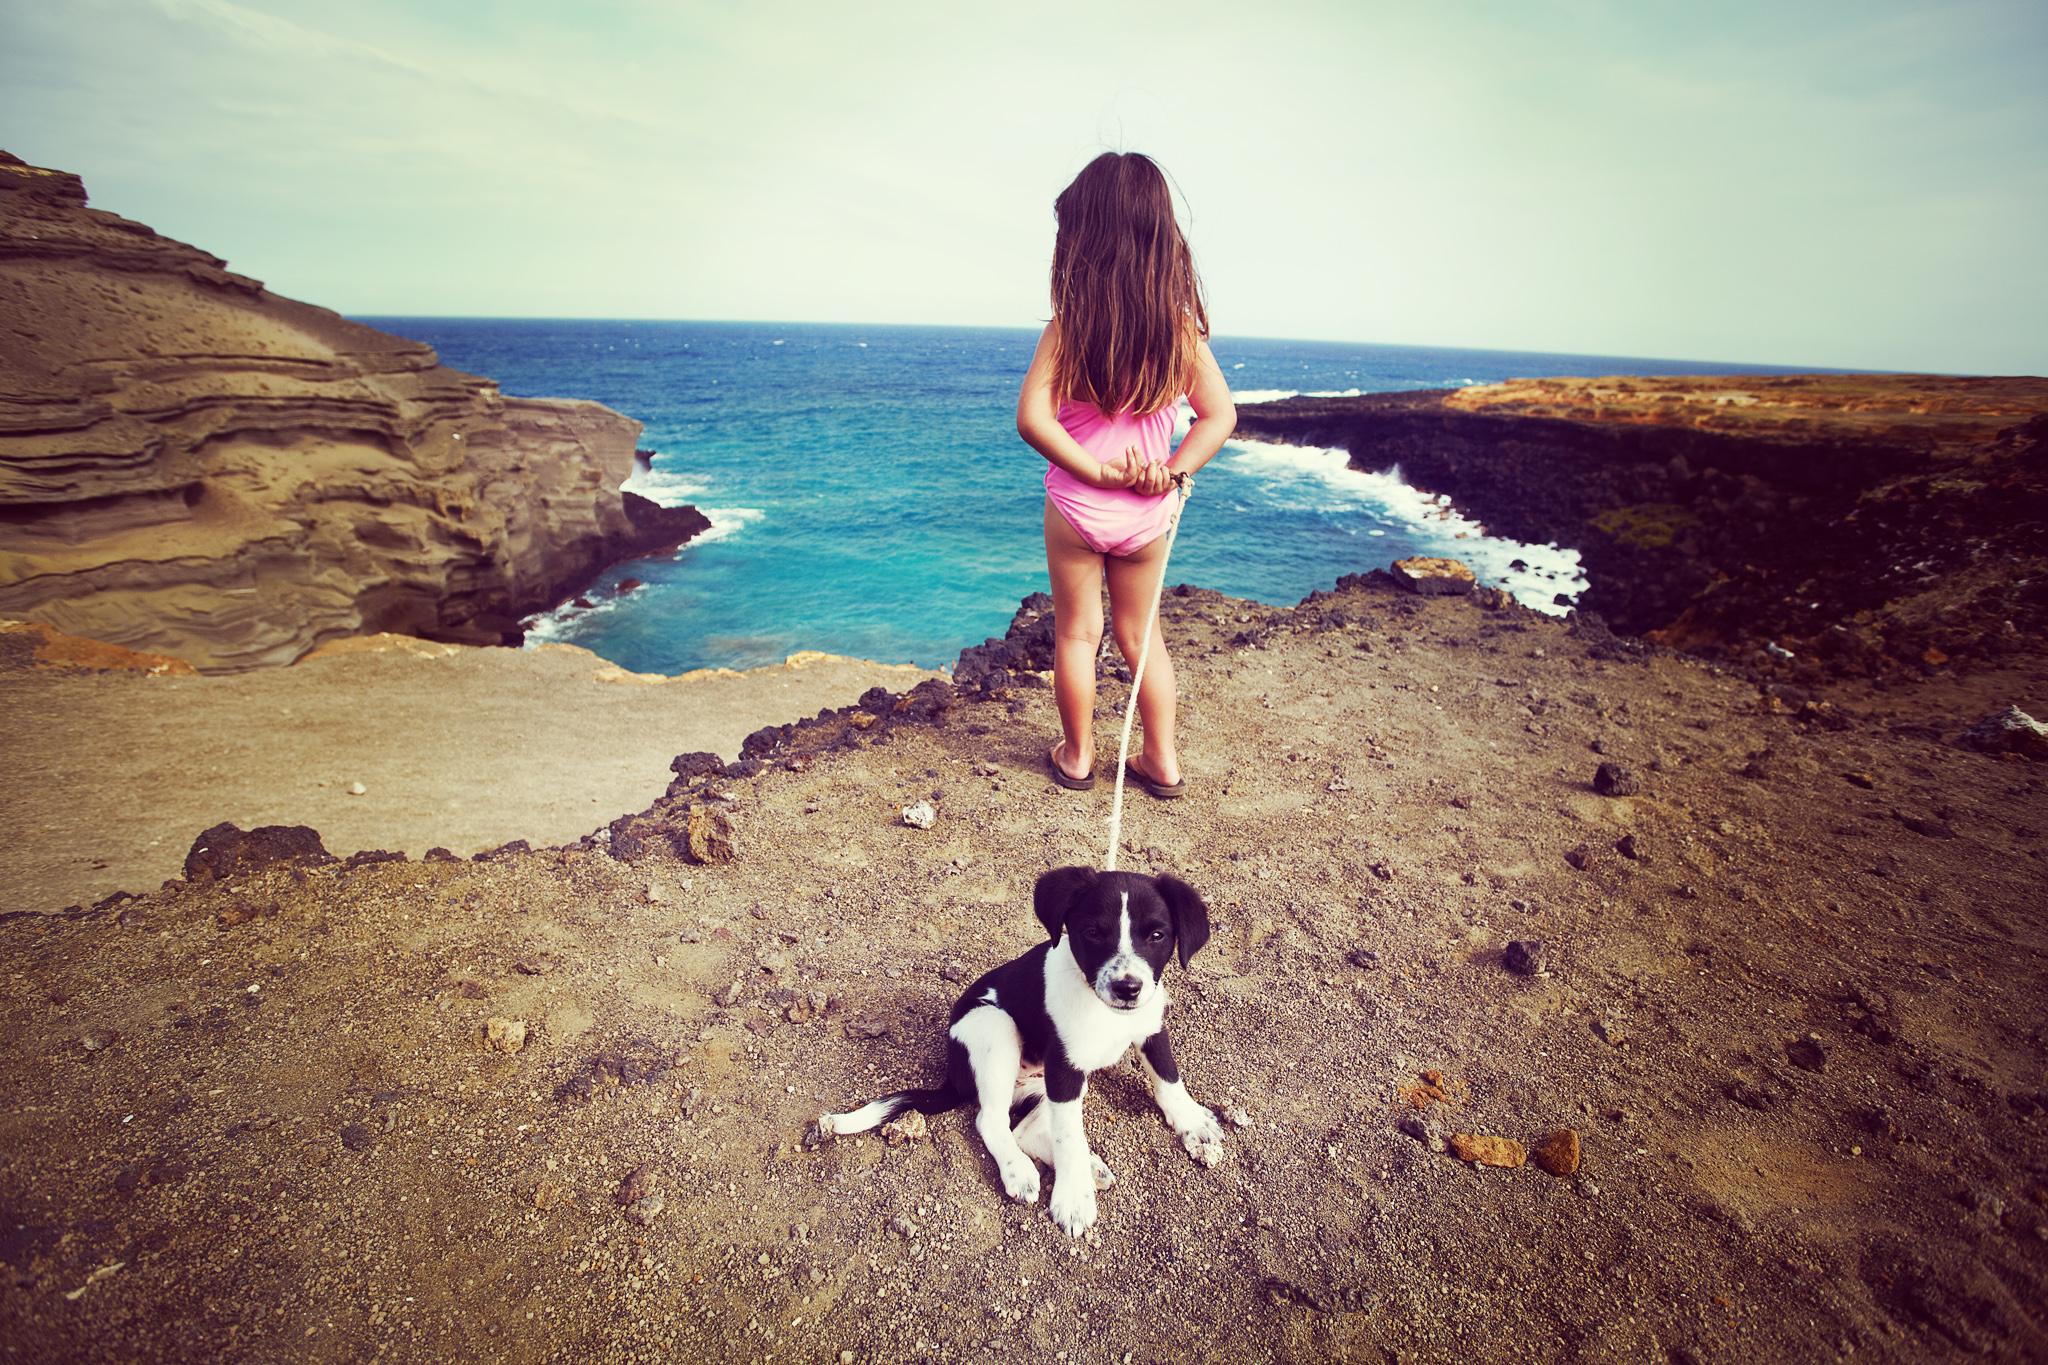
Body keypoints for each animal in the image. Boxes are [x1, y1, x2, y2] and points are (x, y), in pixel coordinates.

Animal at [819, 871, 1228, 1244]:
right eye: (1093, 932)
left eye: (1157, 936)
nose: (1127, 988)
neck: (1102, 1008)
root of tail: (954, 1077)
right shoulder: (1064, 1068)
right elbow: (1069, 1139)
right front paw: (1073, 1199)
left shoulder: (1150, 1028)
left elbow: (1169, 1077)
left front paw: (1192, 1121)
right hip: (996, 1028)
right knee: (992, 1121)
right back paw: (1021, 1170)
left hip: (1043, 1087)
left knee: (1026, 1131)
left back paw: (1089, 1168)